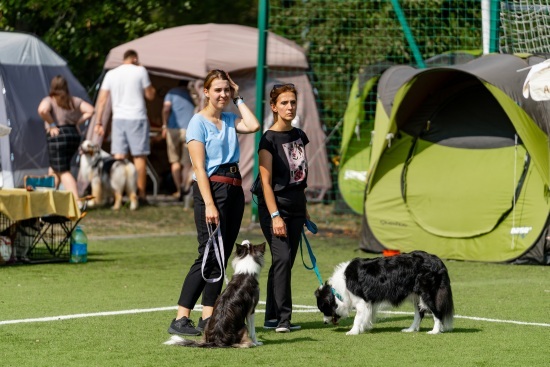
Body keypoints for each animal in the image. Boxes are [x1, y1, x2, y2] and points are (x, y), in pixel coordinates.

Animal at [316, 252, 454, 334]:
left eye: (324, 309)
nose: (324, 322)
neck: (338, 288)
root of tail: (437, 260)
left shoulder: (361, 301)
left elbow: (357, 318)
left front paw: (353, 331)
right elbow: (365, 317)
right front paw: (363, 328)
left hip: (427, 294)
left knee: (437, 312)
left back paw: (435, 331)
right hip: (416, 296)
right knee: (419, 314)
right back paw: (410, 329)